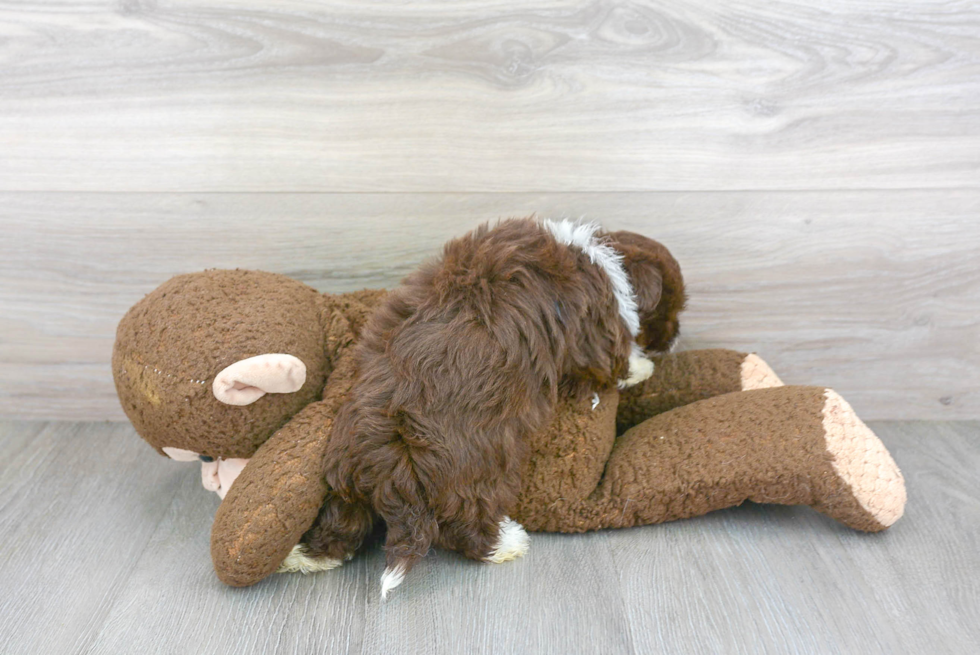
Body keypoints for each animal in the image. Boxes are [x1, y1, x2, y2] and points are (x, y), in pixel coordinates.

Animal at [322, 220, 680, 600]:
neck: (597, 256)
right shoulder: (596, 339)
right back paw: (508, 544)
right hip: (481, 467)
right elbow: (614, 363)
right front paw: (642, 367)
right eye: (675, 307)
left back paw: (312, 557)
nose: (676, 339)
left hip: (346, 478)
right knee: (467, 521)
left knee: (343, 519)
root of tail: (390, 459)